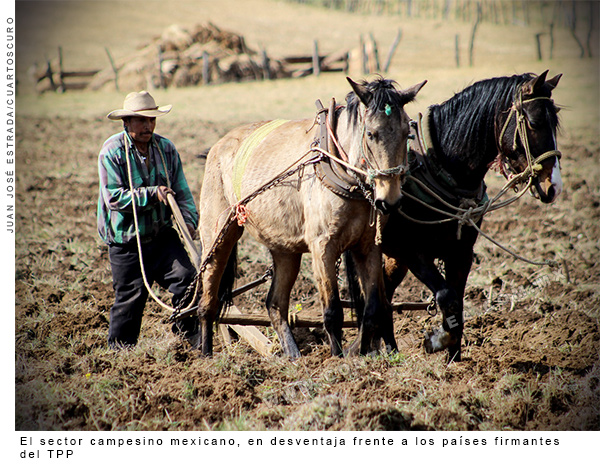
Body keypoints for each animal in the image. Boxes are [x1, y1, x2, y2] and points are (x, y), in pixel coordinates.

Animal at [197, 76, 426, 356]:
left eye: (407, 133)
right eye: (371, 133)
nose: (390, 201)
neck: (343, 172)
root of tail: (217, 147)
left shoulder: (368, 246)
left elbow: (372, 309)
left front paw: (364, 354)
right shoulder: (322, 246)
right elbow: (332, 311)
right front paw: (338, 358)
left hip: (285, 250)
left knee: (275, 304)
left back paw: (293, 356)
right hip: (218, 235)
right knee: (209, 296)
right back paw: (206, 352)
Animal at [346, 70, 564, 360]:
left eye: (555, 122)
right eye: (534, 122)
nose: (554, 186)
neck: (439, 167)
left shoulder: (461, 253)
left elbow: (458, 303)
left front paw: (454, 360)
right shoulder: (412, 251)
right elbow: (447, 297)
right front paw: (437, 340)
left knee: (385, 293)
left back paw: (388, 349)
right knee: (373, 296)